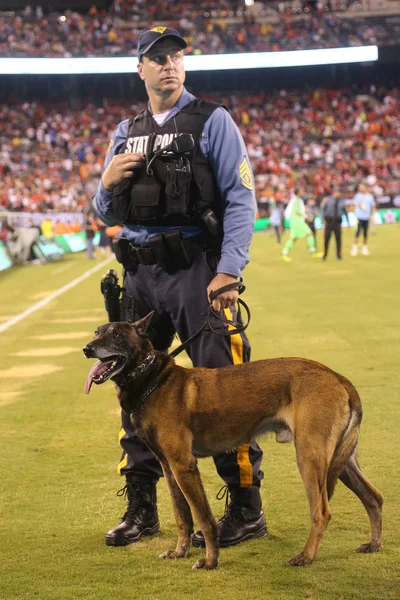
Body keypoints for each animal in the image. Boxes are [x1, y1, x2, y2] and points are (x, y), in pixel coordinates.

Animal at [82, 314, 384, 572]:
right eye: (97, 332)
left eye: (117, 334)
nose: (87, 349)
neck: (153, 382)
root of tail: (338, 377)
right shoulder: (169, 468)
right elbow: (182, 515)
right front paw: (180, 552)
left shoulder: (184, 466)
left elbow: (202, 517)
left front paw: (210, 561)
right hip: (341, 460)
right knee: (374, 497)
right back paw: (374, 545)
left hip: (310, 457)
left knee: (321, 511)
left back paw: (306, 556)